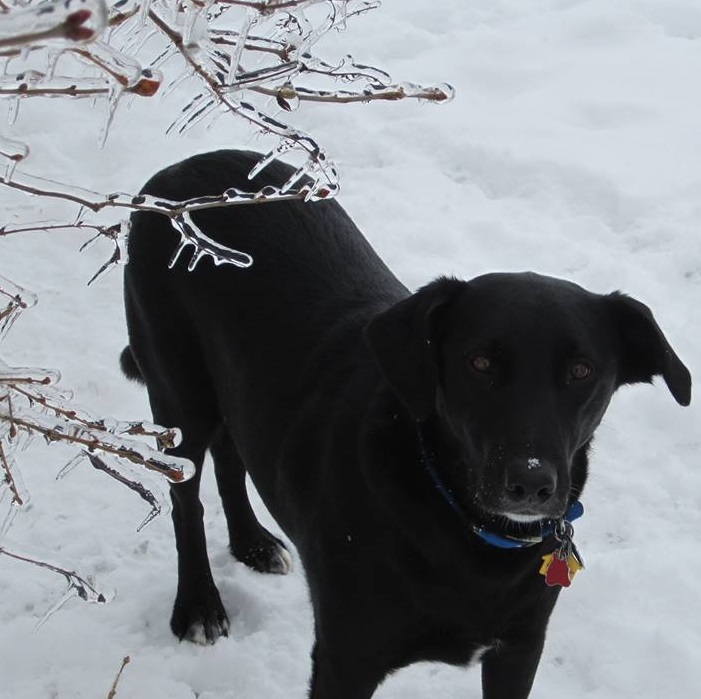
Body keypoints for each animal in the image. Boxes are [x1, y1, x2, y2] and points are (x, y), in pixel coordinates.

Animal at [121, 150, 688, 696]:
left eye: (581, 370)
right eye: (479, 362)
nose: (530, 484)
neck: (459, 522)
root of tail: (177, 171)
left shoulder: (519, 648)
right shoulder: (345, 658)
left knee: (231, 456)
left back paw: (252, 544)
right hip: (178, 391)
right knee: (185, 500)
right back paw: (198, 605)